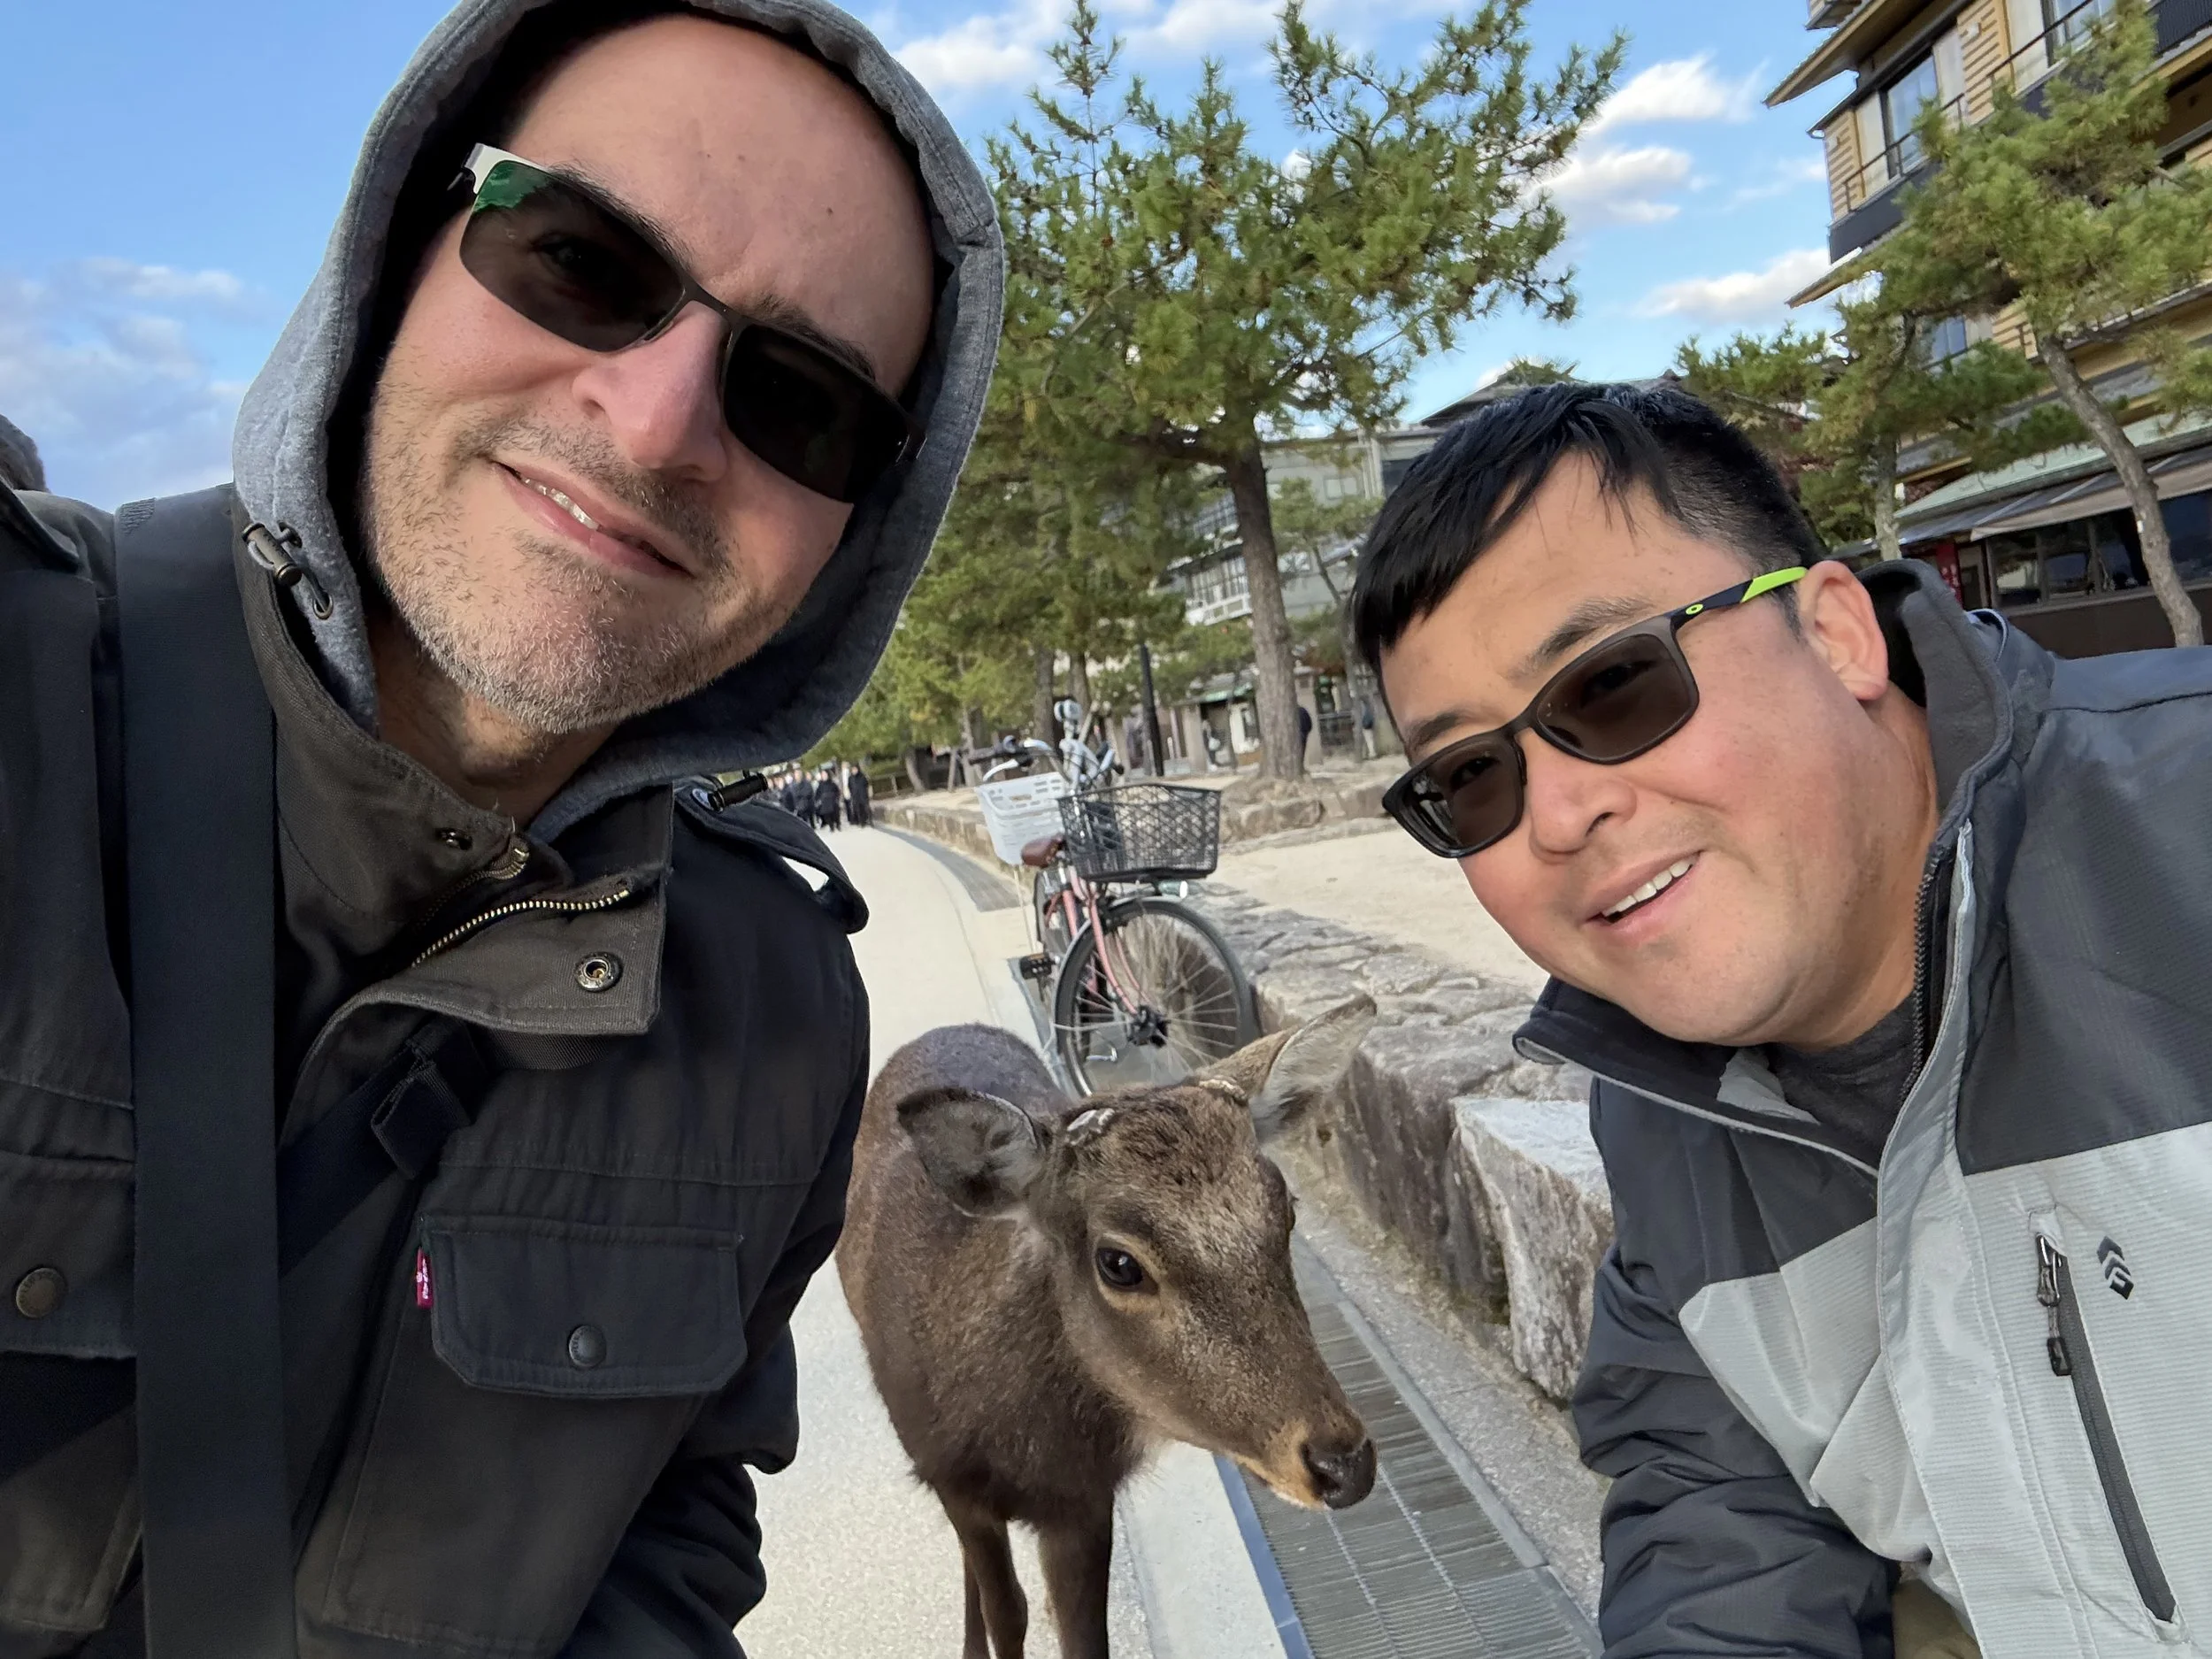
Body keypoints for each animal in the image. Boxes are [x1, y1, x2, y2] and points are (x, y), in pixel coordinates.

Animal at [837, 996, 1379, 1659]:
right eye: (1119, 1263)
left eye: (1287, 1209)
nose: (1345, 1464)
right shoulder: (950, 1477)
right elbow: (1008, 1611)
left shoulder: (1084, 1502)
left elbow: (1080, 1637)